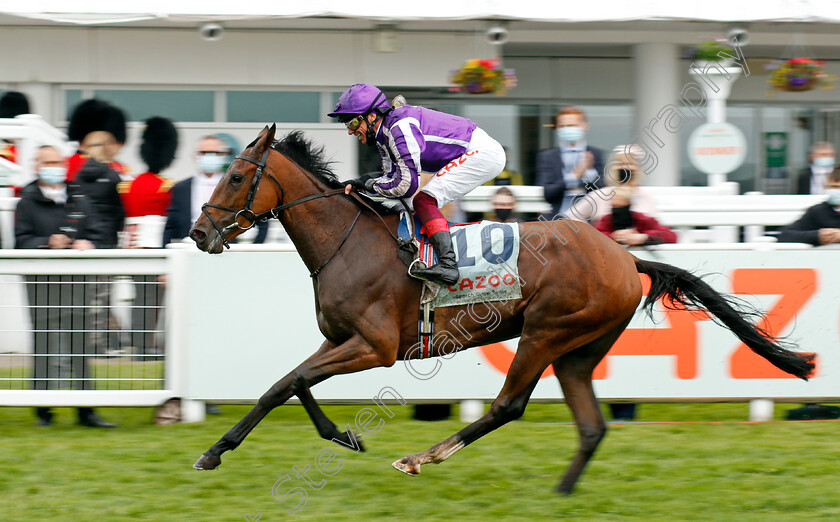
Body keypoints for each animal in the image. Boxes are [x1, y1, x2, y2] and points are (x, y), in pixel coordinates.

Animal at [189, 125, 812, 492]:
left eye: (237, 175)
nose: (198, 232)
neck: (349, 241)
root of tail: (623, 255)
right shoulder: (339, 339)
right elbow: (287, 384)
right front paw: (324, 437)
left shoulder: (375, 347)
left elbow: (290, 381)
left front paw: (234, 449)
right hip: (577, 351)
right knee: (591, 426)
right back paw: (562, 491)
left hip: (544, 333)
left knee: (508, 405)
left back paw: (421, 457)